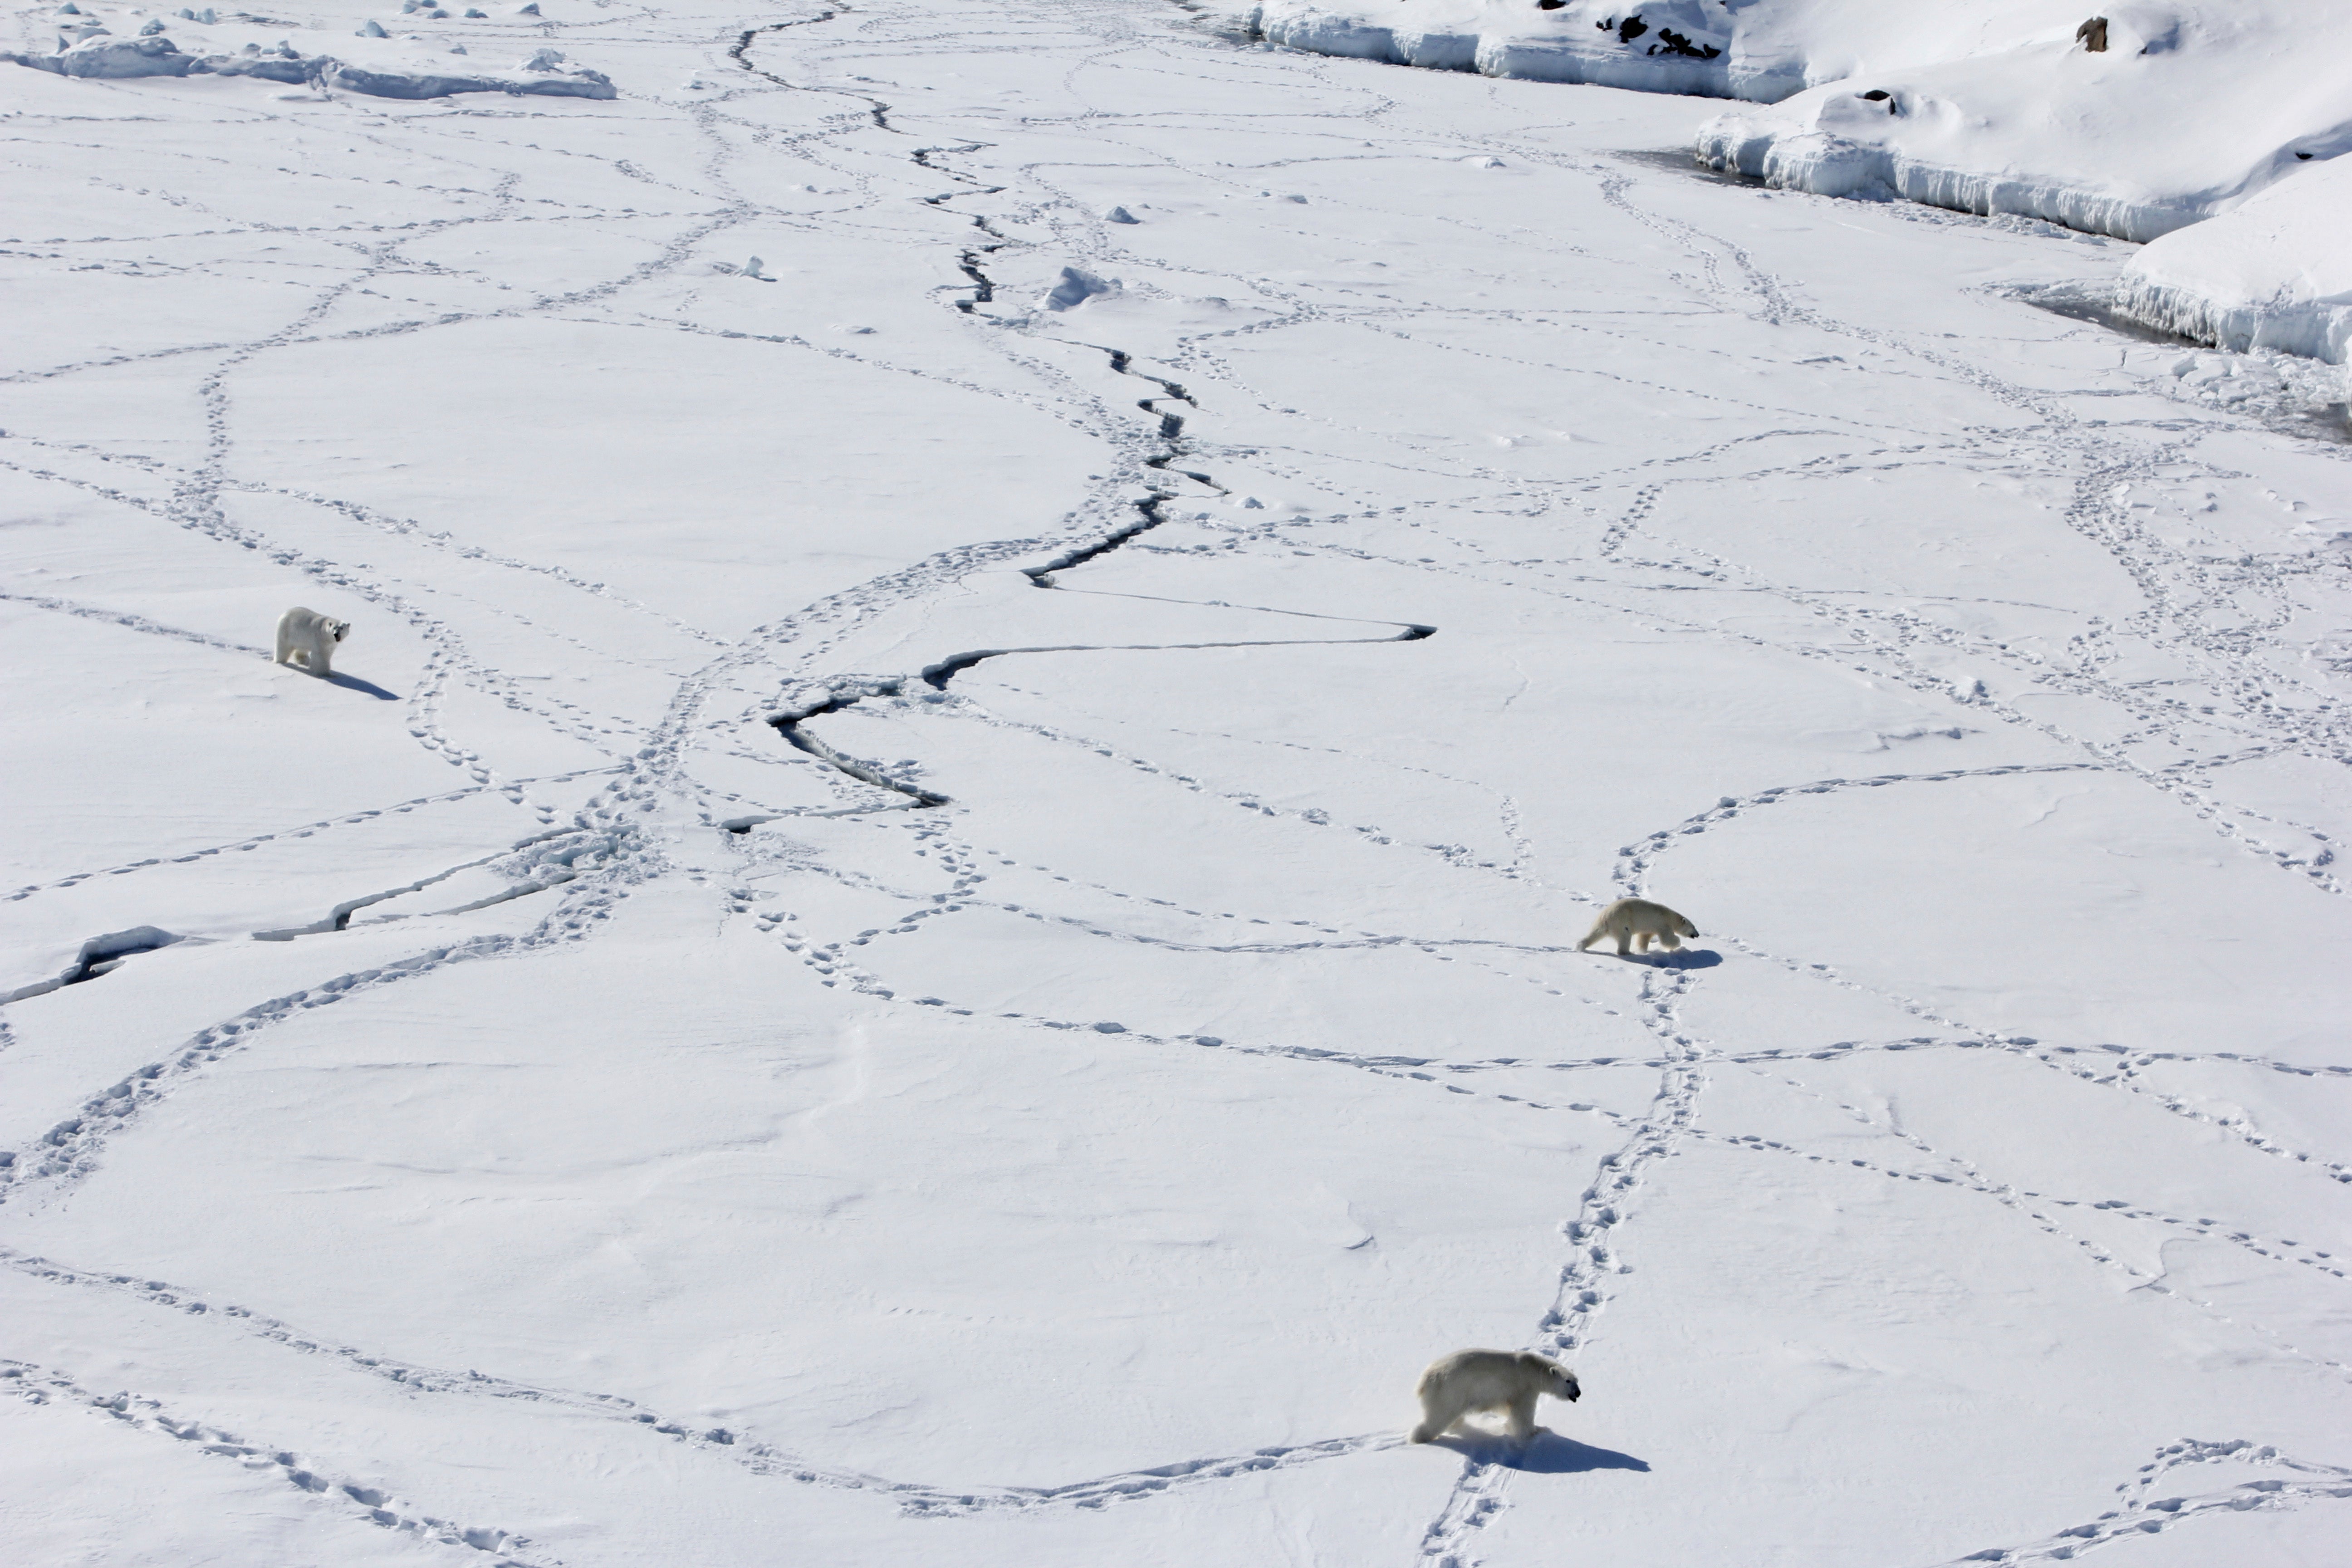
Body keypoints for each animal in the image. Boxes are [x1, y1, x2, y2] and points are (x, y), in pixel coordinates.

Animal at [274, 606, 350, 676]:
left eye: (342, 628)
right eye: (334, 628)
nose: (336, 634)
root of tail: (284, 613)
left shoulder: (331, 644)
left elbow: (329, 652)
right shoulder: (320, 639)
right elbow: (321, 656)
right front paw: (324, 674)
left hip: (301, 638)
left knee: (301, 649)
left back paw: (303, 661)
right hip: (286, 630)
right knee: (283, 648)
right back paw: (280, 661)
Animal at [1410, 1348, 1580, 1445]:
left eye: (1577, 1381)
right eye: (1568, 1381)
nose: (1578, 1393)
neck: (1534, 1371)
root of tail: (1425, 1379)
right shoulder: (1524, 1387)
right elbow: (1523, 1414)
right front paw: (1537, 1432)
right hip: (1450, 1389)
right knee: (1441, 1415)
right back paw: (1420, 1438)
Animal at [1578, 896, 1698, 957]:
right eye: (1693, 927)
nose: (1698, 935)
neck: (1670, 916)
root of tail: (1605, 918)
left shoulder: (1649, 927)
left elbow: (1644, 938)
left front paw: (1643, 950)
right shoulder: (1663, 924)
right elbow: (1667, 939)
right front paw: (1678, 944)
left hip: (1600, 923)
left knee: (1594, 934)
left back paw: (1580, 946)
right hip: (1621, 923)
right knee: (1625, 938)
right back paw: (1628, 952)